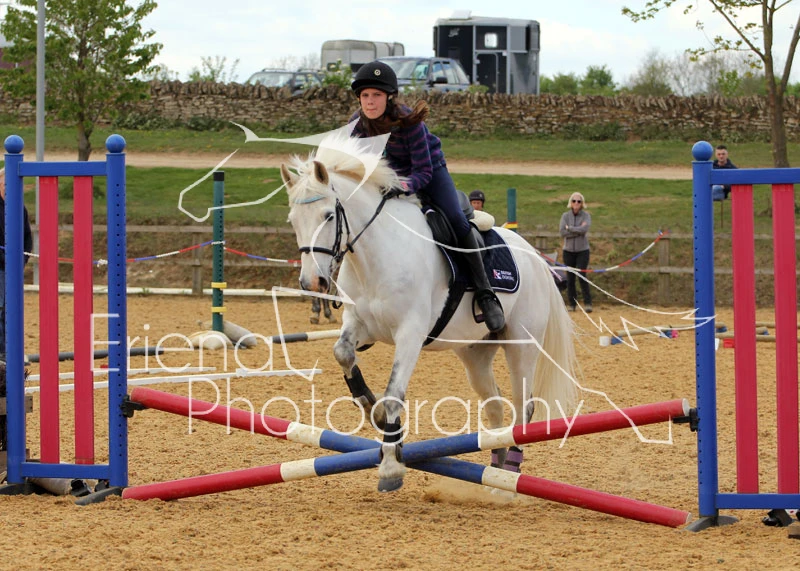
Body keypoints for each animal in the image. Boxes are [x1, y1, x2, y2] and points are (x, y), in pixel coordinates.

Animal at [281, 131, 578, 492]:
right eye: (293, 221)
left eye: (327, 215)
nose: (312, 281)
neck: (374, 256)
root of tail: (534, 255)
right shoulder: (359, 324)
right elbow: (343, 353)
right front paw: (369, 406)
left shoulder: (411, 332)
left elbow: (394, 396)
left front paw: (390, 467)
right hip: (475, 352)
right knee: (494, 404)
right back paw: (494, 473)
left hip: (521, 344)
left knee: (524, 407)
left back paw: (508, 477)